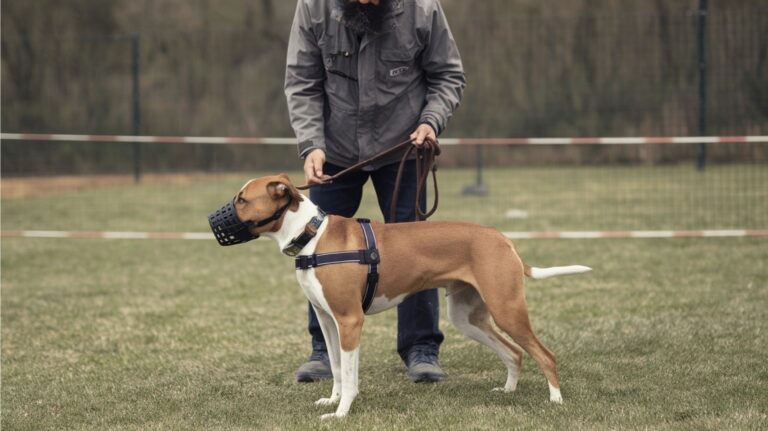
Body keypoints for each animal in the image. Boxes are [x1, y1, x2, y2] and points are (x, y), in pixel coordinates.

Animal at [210, 174, 592, 420]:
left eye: (243, 200)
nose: (211, 219)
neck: (312, 236)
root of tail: (502, 239)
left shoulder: (350, 321)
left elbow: (350, 375)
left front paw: (342, 413)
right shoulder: (328, 321)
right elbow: (336, 368)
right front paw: (332, 401)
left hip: (506, 308)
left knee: (544, 354)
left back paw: (555, 400)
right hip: (469, 318)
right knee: (514, 352)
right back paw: (509, 391)